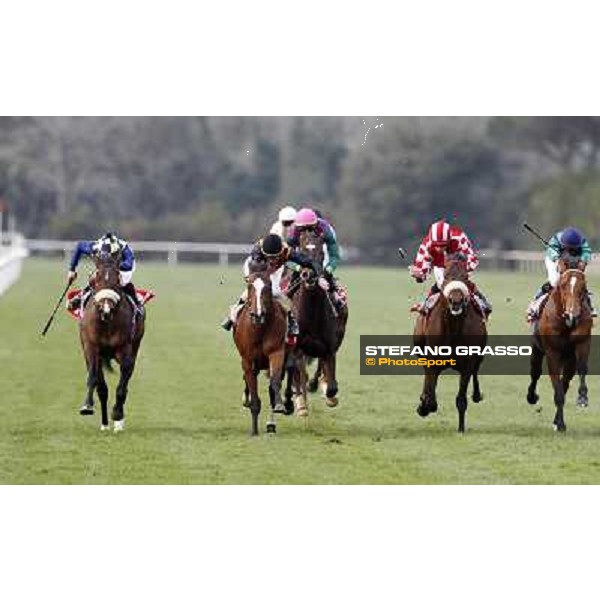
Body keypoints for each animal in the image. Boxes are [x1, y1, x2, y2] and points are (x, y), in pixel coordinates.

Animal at [79, 252, 146, 432]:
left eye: (117, 279)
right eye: (95, 279)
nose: (106, 308)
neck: (107, 322)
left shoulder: (125, 349)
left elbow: (123, 382)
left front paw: (117, 414)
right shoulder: (92, 347)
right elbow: (95, 380)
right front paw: (87, 406)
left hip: (135, 346)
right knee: (101, 387)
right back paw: (104, 423)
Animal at [233, 270, 292, 434]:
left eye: (268, 286)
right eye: (249, 286)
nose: (258, 314)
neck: (259, 330)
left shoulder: (277, 352)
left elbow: (275, 381)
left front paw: (279, 405)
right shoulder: (248, 360)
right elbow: (253, 392)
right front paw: (254, 431)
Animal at [290, 229, 346, 408]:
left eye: (321, 252)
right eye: (301, 252)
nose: (309, 275)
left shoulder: (329, 348)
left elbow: (332, 387)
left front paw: (328, 394)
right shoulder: (296, 348)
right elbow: (298, 376)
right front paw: (301, 403)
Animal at [414, 252, 490, 432]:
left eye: (465, 276)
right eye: (446, 276)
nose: (456, 300)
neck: (453, 329)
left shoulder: (468, 363)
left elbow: (461, 399)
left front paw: (461, 429)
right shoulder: (432, 360)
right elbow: (430, 394)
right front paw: (424, 405)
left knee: (476, 371)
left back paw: (476, 394)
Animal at [528, 254, 592, 432]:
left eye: (583, 286)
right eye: (563, 285)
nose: (572, 315)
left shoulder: (582, 343)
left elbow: (582, 368)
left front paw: (582, 397)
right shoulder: (552, 353)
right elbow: (557, 388)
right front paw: (561, 424)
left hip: (569, 359)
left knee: (566, 382)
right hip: (537, 349)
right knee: (535, 373)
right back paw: (531, 397)